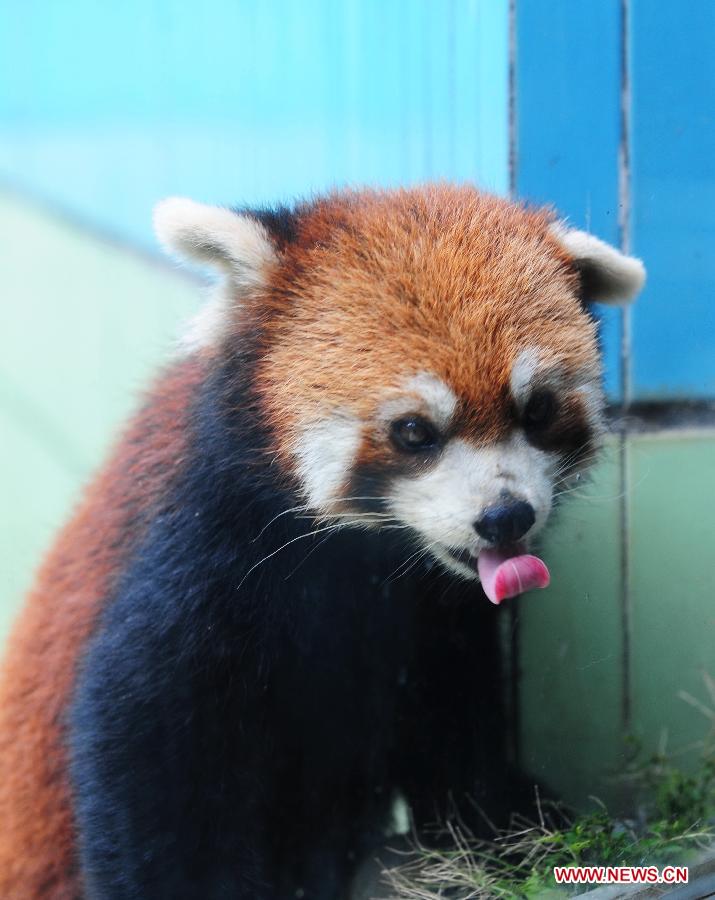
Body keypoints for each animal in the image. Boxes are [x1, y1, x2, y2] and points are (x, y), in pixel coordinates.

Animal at [0, 186, 644, 896]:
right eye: (415, 431)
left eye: (536, 411)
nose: (505, 517)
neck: (367, 558)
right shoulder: (197, 549)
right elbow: (143, 744)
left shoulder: (427, 619)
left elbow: (448, 723)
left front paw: (508, 823)